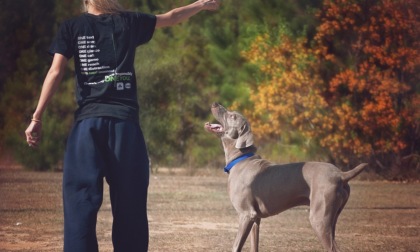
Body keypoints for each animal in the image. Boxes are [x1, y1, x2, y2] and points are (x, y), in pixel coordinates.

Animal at [204, 103, 368, 252]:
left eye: (232, 116)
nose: (215, 103)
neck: (241, 159)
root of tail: (341, 174)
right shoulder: (255, 218)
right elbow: (254, 245)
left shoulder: (246, 214)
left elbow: (236, 246)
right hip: (332, 217)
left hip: (319, 218)